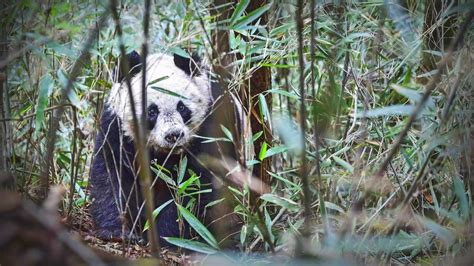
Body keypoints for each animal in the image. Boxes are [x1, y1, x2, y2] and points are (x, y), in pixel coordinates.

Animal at [89, 51, 231, 244]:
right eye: (152, 111)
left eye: (182, 107)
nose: (173, 135)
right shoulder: (117, 129)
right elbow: (111, 174)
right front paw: (117, 231)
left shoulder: (208, 129)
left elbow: (193, 185)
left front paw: (164, 235)